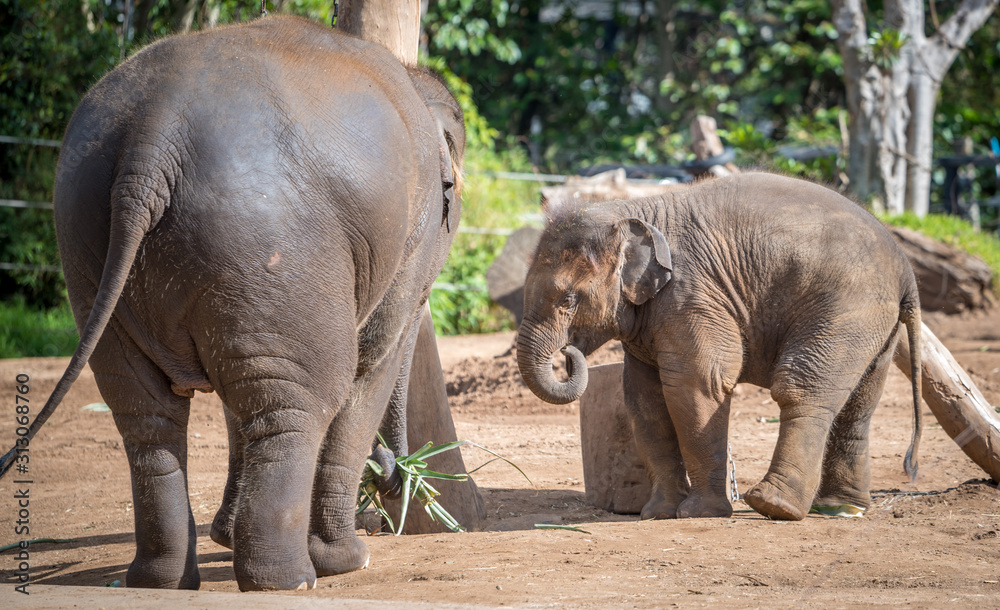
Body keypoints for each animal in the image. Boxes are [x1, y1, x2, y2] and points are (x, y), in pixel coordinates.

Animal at [0, 16, 464, 591]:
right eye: (451, 194)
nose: (394, 478)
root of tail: (152, 143)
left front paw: (226, 535)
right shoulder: (408, 247)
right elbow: (372, 363)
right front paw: (350, 559)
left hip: (91, 243)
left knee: (146, 411)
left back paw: (162, 580)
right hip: (269, 247)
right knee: (297, 400)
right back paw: (291, 580)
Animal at [516, 172, 923, 522]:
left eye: (568, 300)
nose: (568, 353)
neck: (634, 209)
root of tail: (906, 270)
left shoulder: (692, 295)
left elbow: (698, 383)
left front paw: (699, 514)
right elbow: (644, 398)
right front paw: (658, 513)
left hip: (845, 308)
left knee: (801, 389)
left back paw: (775, 506)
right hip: (876, 327)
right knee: (860, 404)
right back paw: (840, 508)